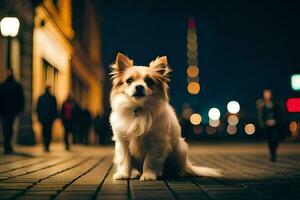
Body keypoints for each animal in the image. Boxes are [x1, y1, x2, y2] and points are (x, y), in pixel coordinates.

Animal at [109, 52, 219, 180]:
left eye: (149, 81)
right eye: (129, 80)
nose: (139, 86)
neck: (139, 108)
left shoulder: (156, 143)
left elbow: (150, 160)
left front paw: (148, 175)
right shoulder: (122, 142)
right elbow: (124, 160)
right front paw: (123, 174)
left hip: (180, 149)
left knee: (181, 169)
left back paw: (174, 173)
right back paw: (136, 173)